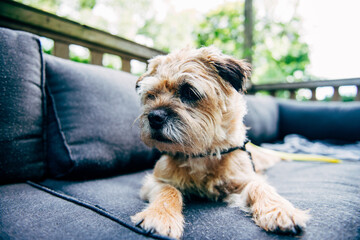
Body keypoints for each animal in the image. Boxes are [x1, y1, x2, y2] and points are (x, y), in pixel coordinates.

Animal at [131, 46, 310, 238]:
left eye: (189, 91)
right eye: (151, 95)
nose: (154, 117)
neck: (201, 154)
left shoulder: (245, 179)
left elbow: (260, 186)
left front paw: (280, 210)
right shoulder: (155, 181)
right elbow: (169, 190)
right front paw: (160, 215)